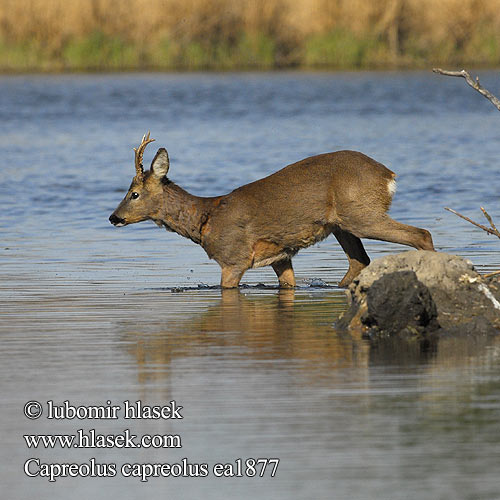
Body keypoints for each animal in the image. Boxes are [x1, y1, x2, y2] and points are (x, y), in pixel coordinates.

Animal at [109, 134, 434, 290]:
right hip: (342, 224)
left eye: (134, 193)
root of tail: (388, 175)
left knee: (421, 233)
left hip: (361, 214)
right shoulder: (281, 256)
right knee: (360, 260)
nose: (114, 217)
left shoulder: (234, 257)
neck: (206, 218)